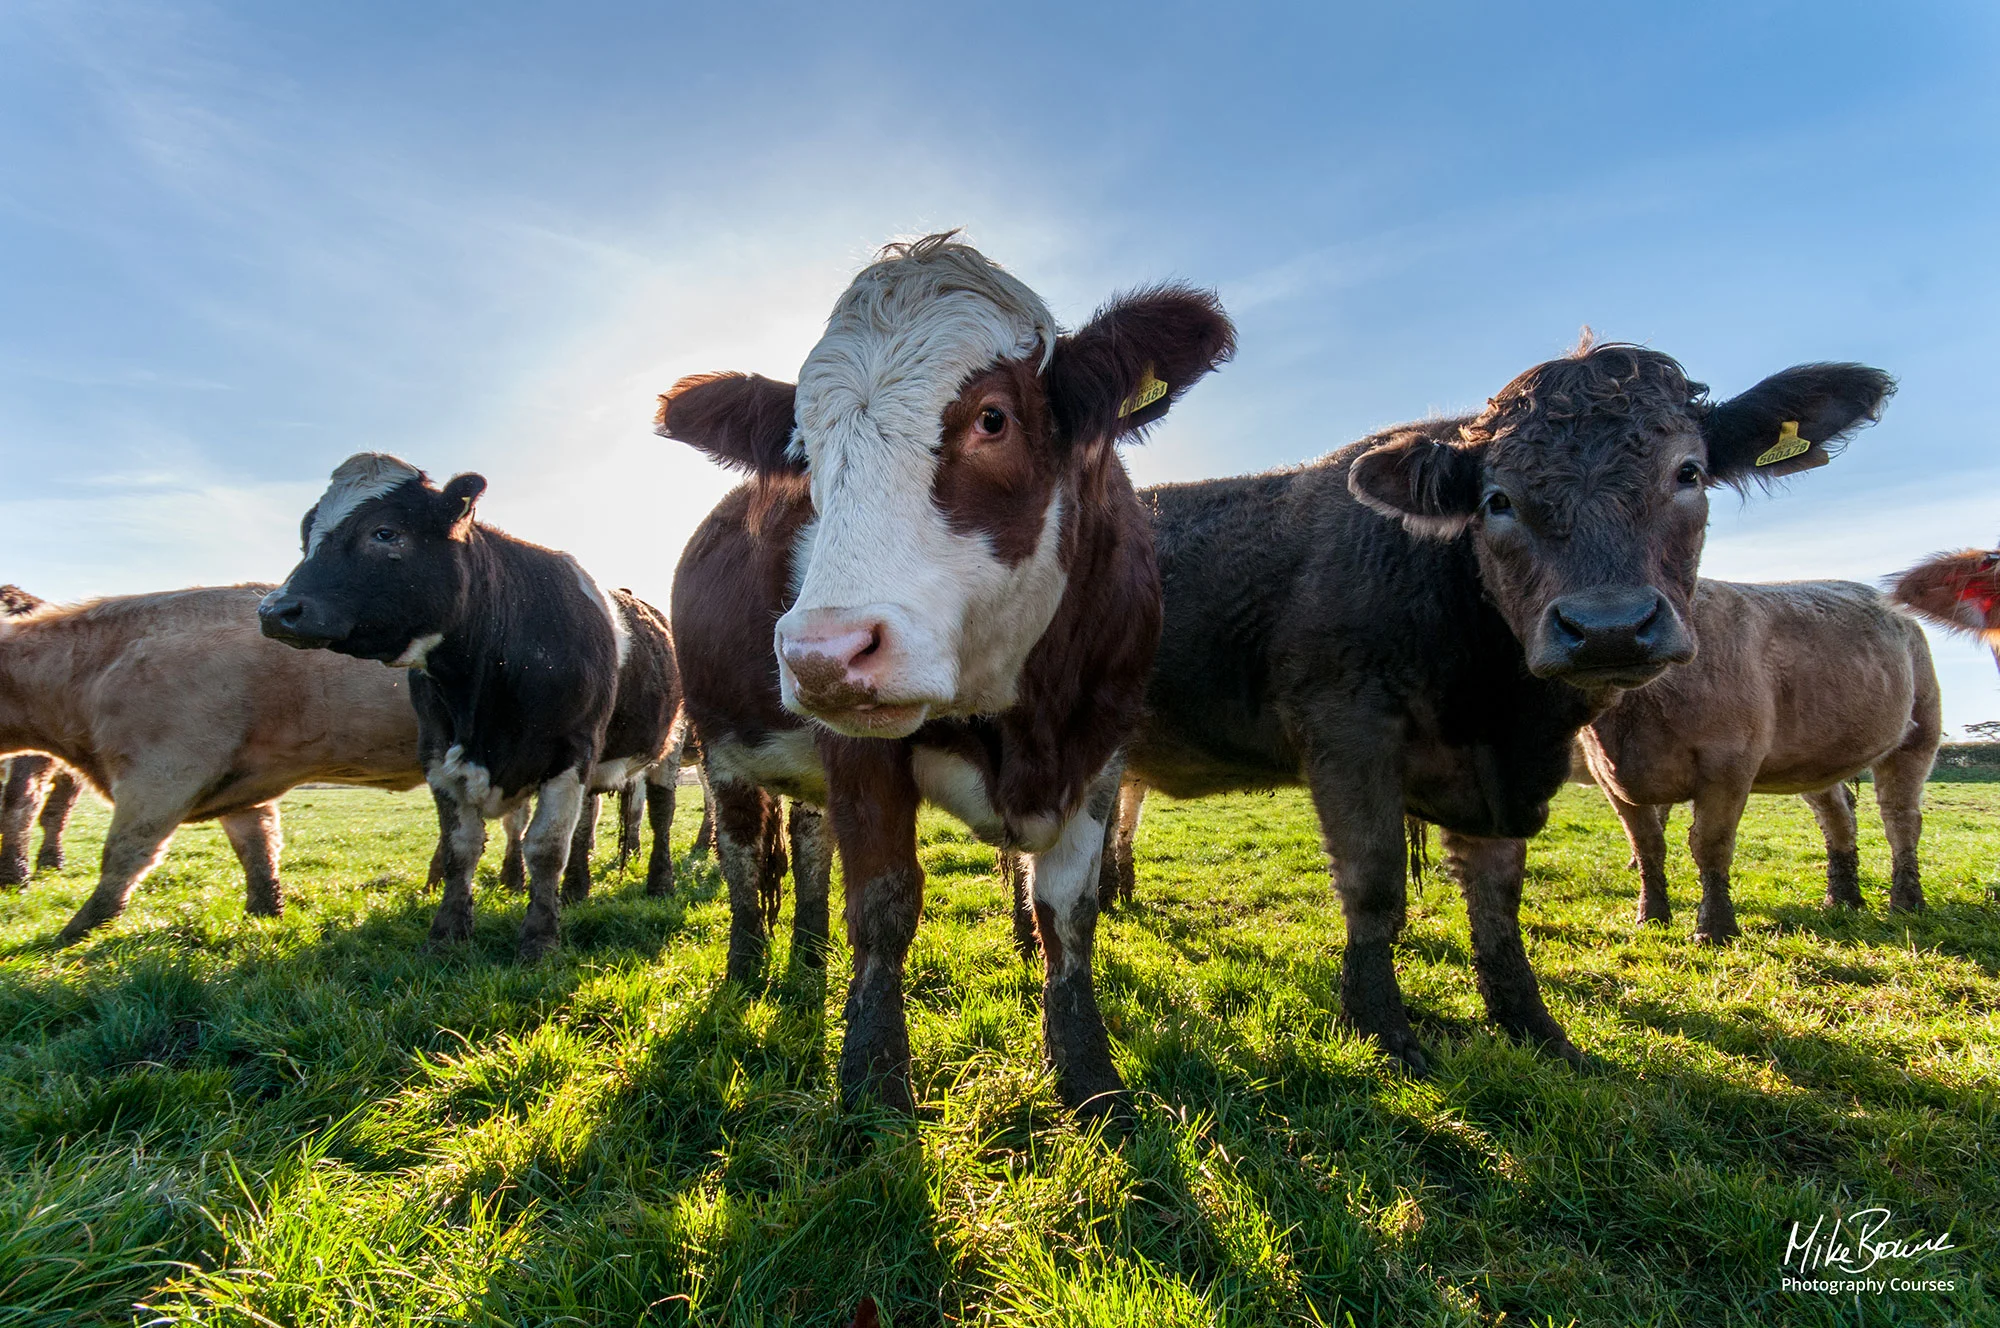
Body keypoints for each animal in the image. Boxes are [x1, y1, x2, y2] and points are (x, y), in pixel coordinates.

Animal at [0, 584, 438, 944]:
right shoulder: (244, 788)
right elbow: (258, 849)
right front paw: (265, 915)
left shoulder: (161, 775)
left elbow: (123, 854)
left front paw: (76, 932)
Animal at [258, 454, 688, 956]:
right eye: (306, 535)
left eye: (384, 532)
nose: (276, 610)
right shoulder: (438, 753)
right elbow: (460, 848)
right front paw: (447, 932)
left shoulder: (571, 751)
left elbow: (545, 846)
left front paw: (540, 938)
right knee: (587, 821)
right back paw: (576, 890)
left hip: (669, 746)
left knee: (659, 813)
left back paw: (659, 882)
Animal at [656, 231, 1232, 1112]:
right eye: (805, 451)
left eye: (993, 418)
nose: (822, 652)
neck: (1026, 717)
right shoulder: (858, 749)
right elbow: (885, 902)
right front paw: (872, 1087)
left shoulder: (1102, 746)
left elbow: (1070, 912)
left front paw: (1091, 1078)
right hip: (720, 748)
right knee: (744, 854)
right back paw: (749, 970)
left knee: (810, 845)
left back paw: (809, 957)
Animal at [1128, 342, 1888, 1072]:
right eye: (1497, 500)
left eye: (1689, 473)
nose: (1608, 627)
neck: (1491, 703)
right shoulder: (1346, 730)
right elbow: (1374, 885)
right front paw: (1383, 1031)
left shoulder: (1504, 778)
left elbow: (1498, 902)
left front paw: (1535, 1028)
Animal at [1576, 576, 1936, 940]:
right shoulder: (1608, 776)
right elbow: (1647, 845)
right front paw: (1650, 917)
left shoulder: (1728, 765)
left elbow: (1710, 844)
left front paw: (1715, 928)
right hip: (1813, 760)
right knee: (1838, 815)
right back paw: (1842, 899)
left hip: (1918, 734)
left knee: (1901, 820)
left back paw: (1907, 902)